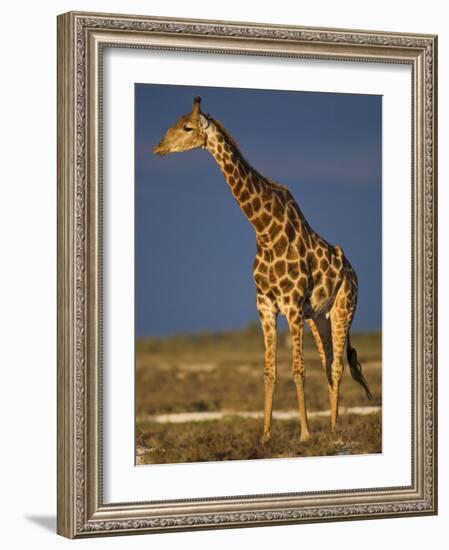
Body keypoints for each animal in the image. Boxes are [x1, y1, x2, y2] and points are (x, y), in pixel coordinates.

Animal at [154, 98, 372, 444]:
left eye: (187, 127)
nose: (157, 148)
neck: (265, 230)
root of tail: (352, 271)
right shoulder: (265, 305)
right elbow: (270, 371)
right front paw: (266, 435)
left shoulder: (292, 305)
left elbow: (298, 369)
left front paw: (305, 433)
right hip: (318, 317)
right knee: (328, 364)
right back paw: (332, 426)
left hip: (343, 308)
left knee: (337, 365)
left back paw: (335, 430)